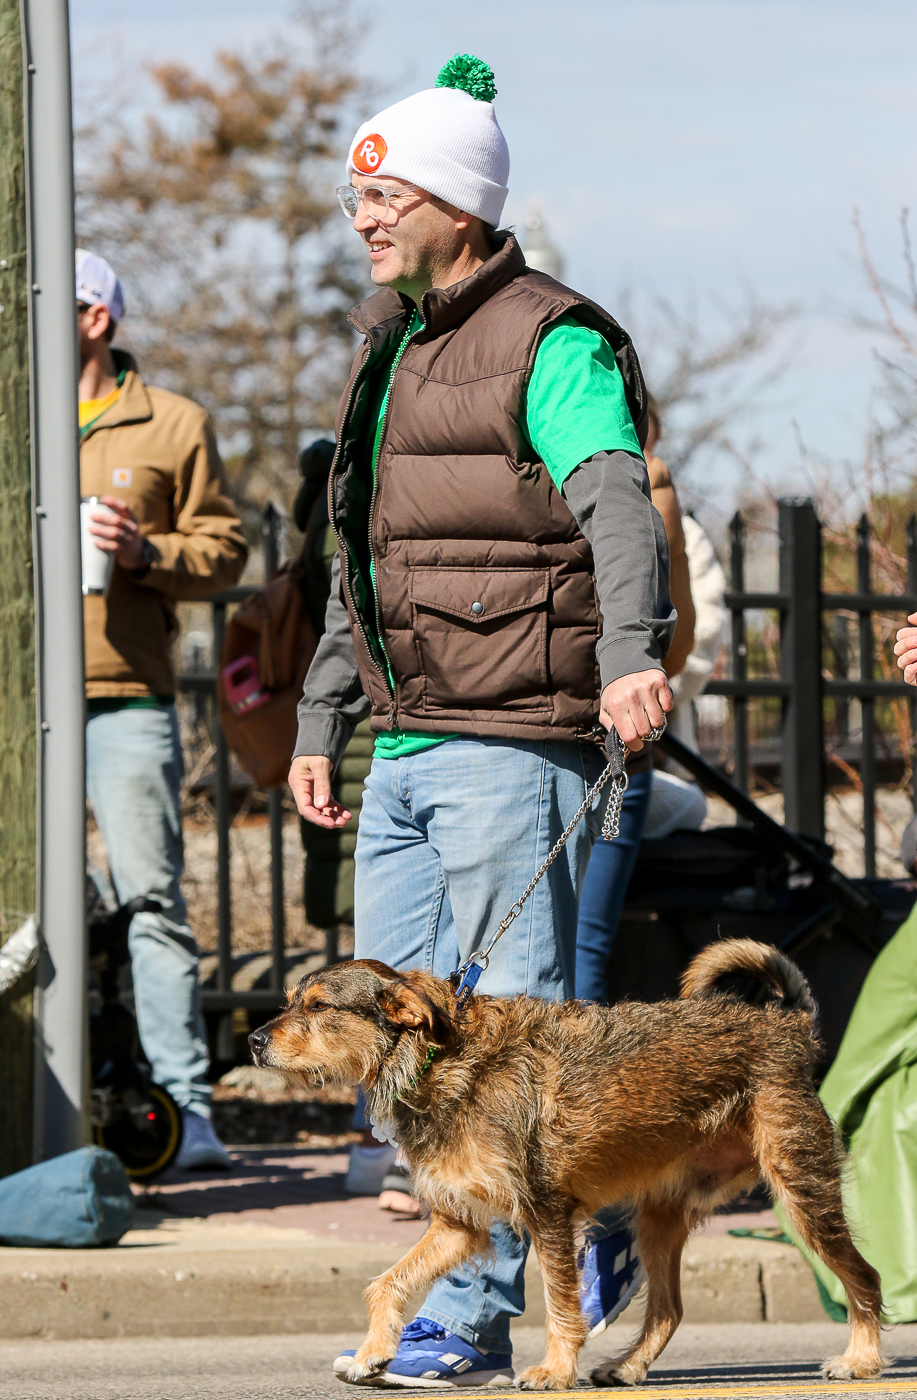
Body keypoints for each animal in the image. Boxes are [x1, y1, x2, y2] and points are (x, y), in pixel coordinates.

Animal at [249, 939, 884, 1390]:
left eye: (319, 1006)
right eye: (290, 1001)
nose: (253, 1041)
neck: (438, 1059)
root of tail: (786, 1026)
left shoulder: (547, 1211)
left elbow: (560, 1303)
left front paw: (555, 1370)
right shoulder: (457, 1225)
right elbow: (386, 1283)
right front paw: (372, 1353)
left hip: (803, 1193)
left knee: (864, 1276)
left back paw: (862, 1360)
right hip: (660, 1217)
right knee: (669, 1308)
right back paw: (628, 1367)